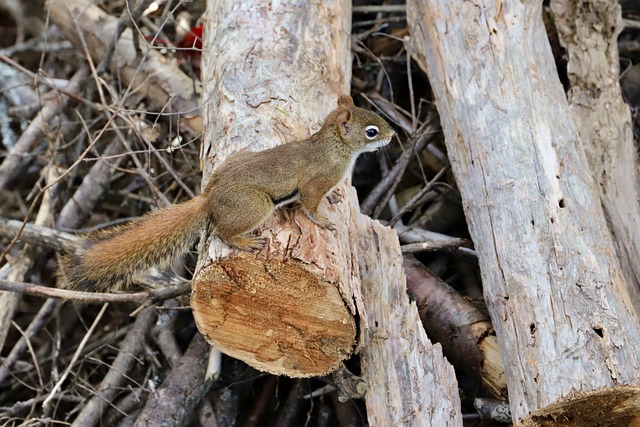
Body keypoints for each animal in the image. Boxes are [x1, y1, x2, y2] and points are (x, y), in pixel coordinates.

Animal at [58, 95, 396, 292]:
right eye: (371, 132)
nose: (393, 135)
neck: (334, 146)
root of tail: (210, 196)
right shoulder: (315, 181)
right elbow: (310, 205)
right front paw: (324, 221)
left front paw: (335, 198)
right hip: (255, 205)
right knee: (222, 231)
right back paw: (245, 241)